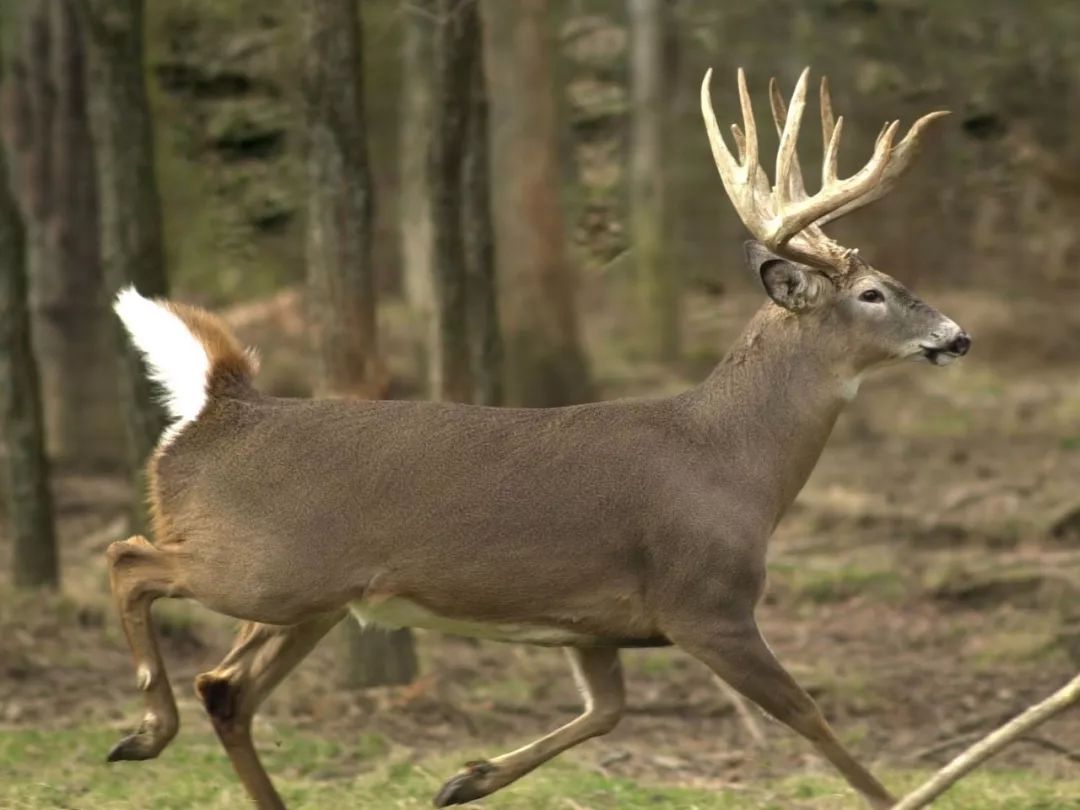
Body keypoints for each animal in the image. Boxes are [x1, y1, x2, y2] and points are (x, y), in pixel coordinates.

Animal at [103, 69, 972, 810]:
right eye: (873, 293)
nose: (958, 337)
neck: (733, 465)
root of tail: (218, 406)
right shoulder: (706, 601)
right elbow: (811, 719)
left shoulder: (594, 623)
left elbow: (607, 711)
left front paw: (466, 778)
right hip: (262, 569)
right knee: (130, 560)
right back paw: (144, 728)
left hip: (313, 599)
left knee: (228, 688)